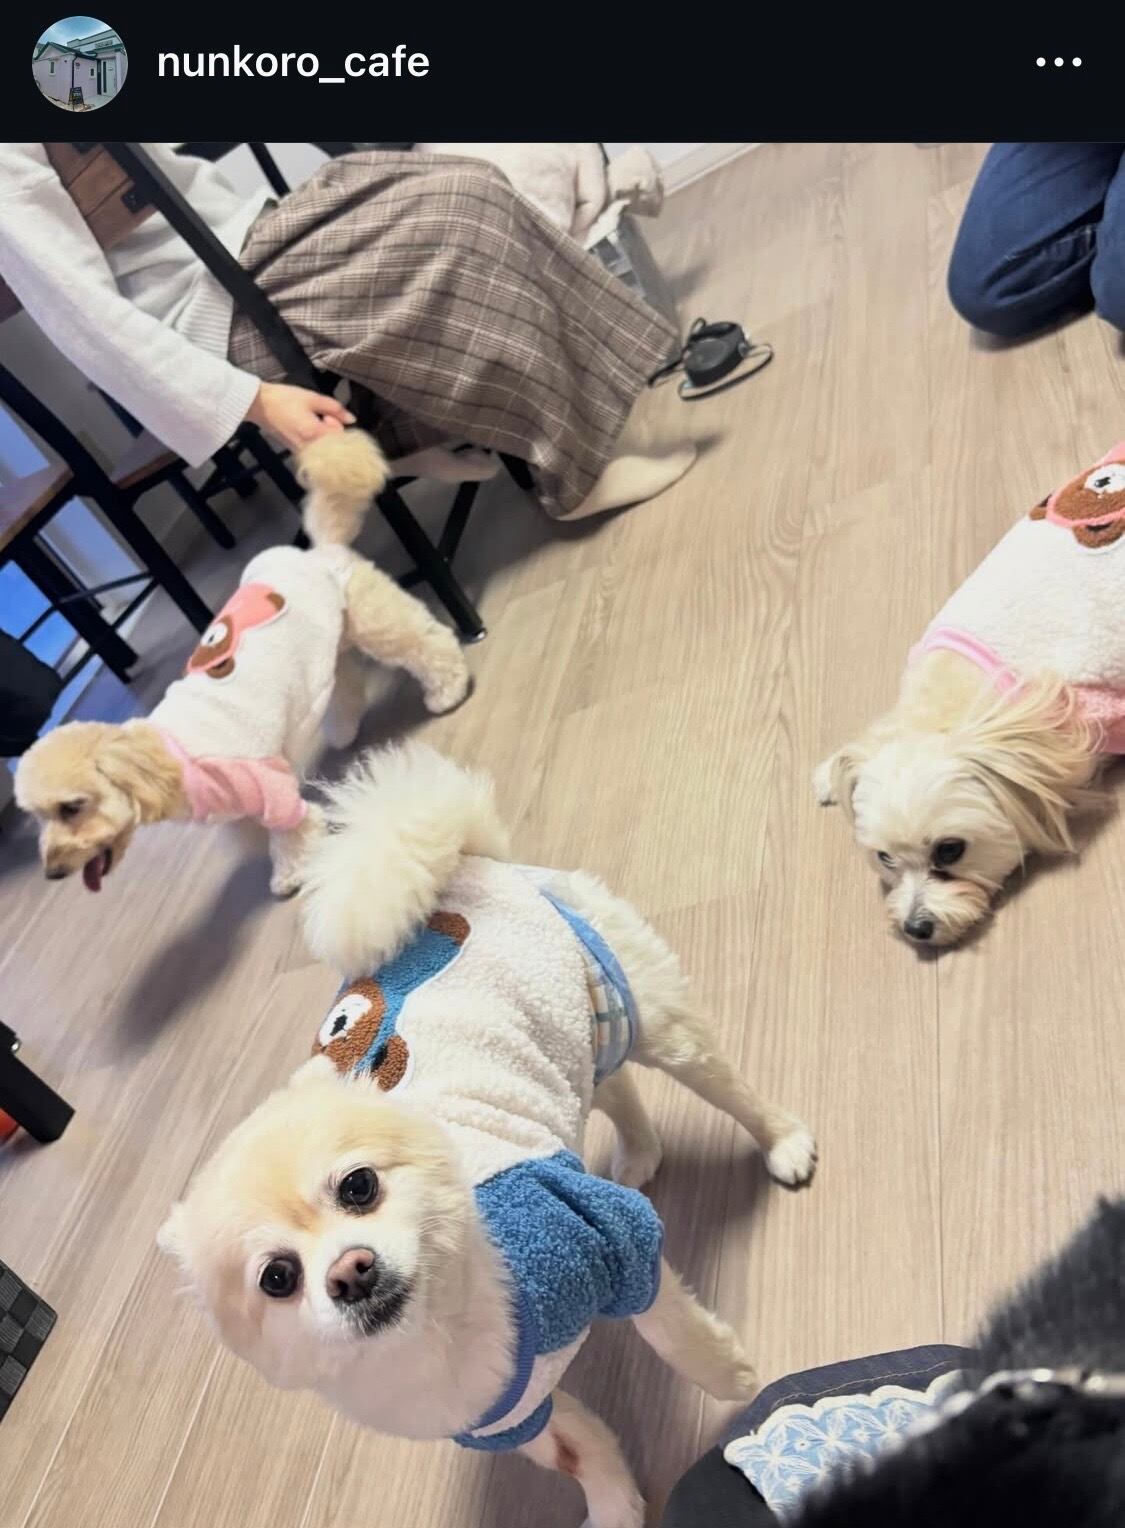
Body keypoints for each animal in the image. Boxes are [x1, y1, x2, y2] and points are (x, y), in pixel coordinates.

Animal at [14, 431, 470, 898]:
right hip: (327, 649)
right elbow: (250, 829)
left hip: (375, 619)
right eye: (39, 817)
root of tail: (319, 551)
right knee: (343, 682)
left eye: (72, 807)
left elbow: (291, 829)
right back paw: (344, 729)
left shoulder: (270, 787)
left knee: (429, 643)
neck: (168, 759)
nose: (53, 872)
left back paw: (447, 690)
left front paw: (289, 873)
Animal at [158, 742, 816, 1527]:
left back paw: (783, 1144)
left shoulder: (618, 1244)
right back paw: (639, 1151)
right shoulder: (507, 1420)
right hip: (574, 1031)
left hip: (646, 1013)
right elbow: (582, 1449)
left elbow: (672, 1330)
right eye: (277, 1279)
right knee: (608, 1085)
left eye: (358, 1187)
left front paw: (740, 1387)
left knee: (725, 1087)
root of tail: (465, 864)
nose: (350, 1270)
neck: (440, 1328)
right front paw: (615, 1507)